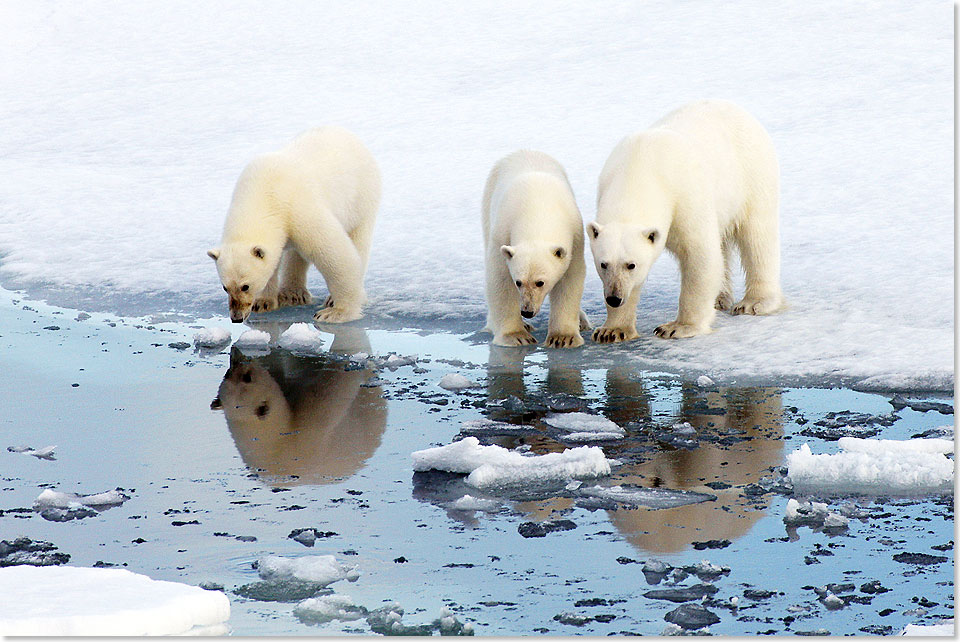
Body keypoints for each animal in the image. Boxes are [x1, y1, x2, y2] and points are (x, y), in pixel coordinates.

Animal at [208, 127, 380, 322]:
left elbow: (335, 254)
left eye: (245, 286)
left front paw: (336, 312)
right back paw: (292, 294)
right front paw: (263, 302)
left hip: (361, 199)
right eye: (225, 287)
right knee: (295, 254)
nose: (236, 317)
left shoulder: (298, 210)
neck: (264, 196)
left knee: (358, 241)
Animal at [480, 150, 592, 348]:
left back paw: (582, 320)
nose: (527, 311)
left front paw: (563, 338)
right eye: (518, 282)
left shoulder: (576, 238)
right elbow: (500, 279)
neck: (537, 212)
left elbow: (570, 280)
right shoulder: (502, 232)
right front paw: (516, 335)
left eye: (540, 282)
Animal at [588, 99, 784, 340]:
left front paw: (676, 327)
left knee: (756, 238)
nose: (614, 298)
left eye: (631, 264)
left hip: (751, 175)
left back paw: (754, 302)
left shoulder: (686, 197)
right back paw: (720, 298)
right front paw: (611, 330)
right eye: (603, 264)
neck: (639, 170)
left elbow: (699, 256)